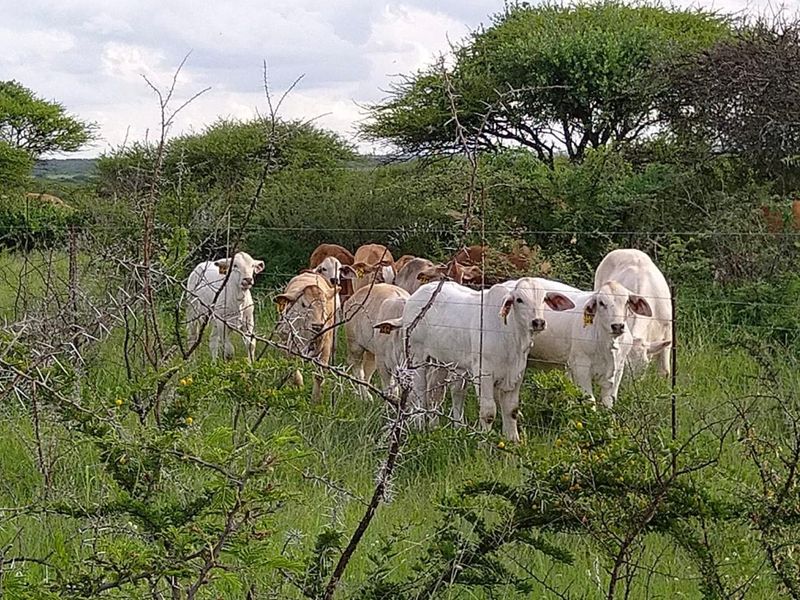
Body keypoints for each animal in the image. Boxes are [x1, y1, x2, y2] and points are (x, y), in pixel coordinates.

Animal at [273, 271, 339, 402]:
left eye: (324, 303)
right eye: (303, 304)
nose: (318, 326)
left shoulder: (325, 346)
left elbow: (319, 376)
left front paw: (315, 400)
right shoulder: (290, 346)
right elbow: (295, 374)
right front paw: (300, 391)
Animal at [378, 278, 574, 441]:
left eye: (543, 299)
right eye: (519, 300)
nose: (538, 322)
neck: (511, 335)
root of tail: (414, 297)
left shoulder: (516, 374)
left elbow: (512, 411)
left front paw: (514, 443)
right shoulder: (484, 374)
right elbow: (488, 412)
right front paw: (484, 444)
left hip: (440, 361)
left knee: (436, 394)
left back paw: (436, 427)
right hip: (417, 358)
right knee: (419, 393)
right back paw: (419, 426)